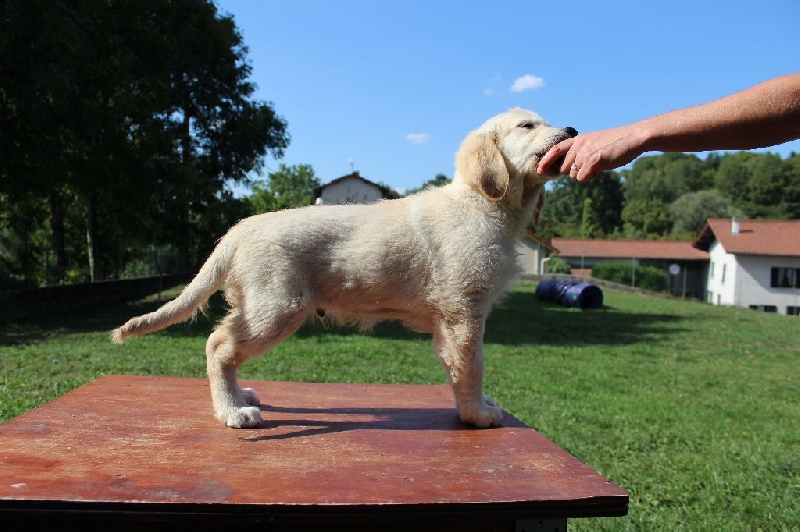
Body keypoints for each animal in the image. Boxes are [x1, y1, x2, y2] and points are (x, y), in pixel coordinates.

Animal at [111, 108, 576, 428]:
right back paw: (232, 412)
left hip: (260, 305)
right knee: (219, 345)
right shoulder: (464, 312)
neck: (483, 205)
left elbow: (455, 368)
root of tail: (239, 230)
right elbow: (473, 366)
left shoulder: (451, 321)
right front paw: (478, 414)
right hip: (277, 305)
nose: (572, 131)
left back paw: (241, 397)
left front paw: (470, 409)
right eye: (527, 126)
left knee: (225, 347)